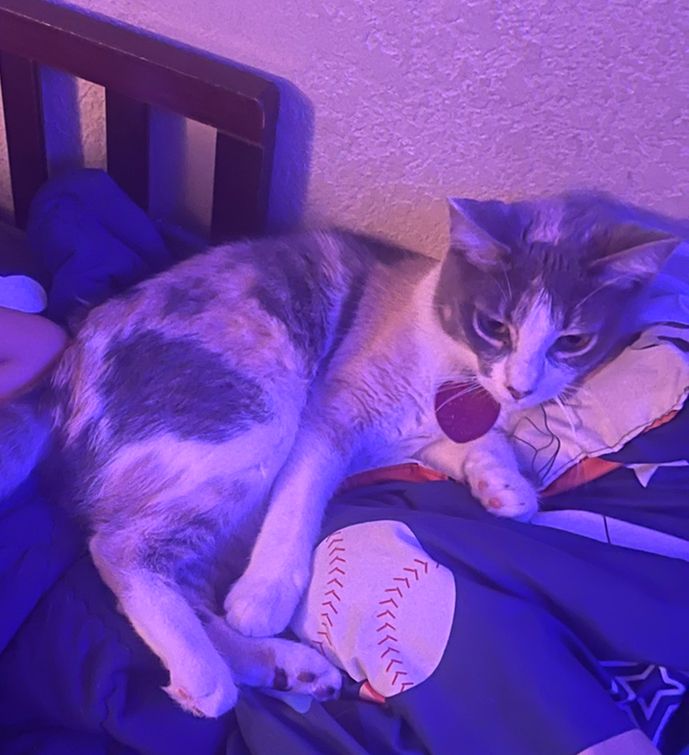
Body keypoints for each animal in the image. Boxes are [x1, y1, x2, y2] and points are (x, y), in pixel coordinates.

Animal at [2, 191, 682, 718]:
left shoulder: (426, 434)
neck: (449, 366)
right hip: (255, 414)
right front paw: (266, 594)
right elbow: (300, 500)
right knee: (122, 551)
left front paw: (505, 484)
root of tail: (65, 368)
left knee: (182, 578)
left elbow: (472, 443)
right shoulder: (327, 416)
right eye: (495, 326)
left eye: (573, 341)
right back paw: (209, 675)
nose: (522, 386)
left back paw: (284, 665)